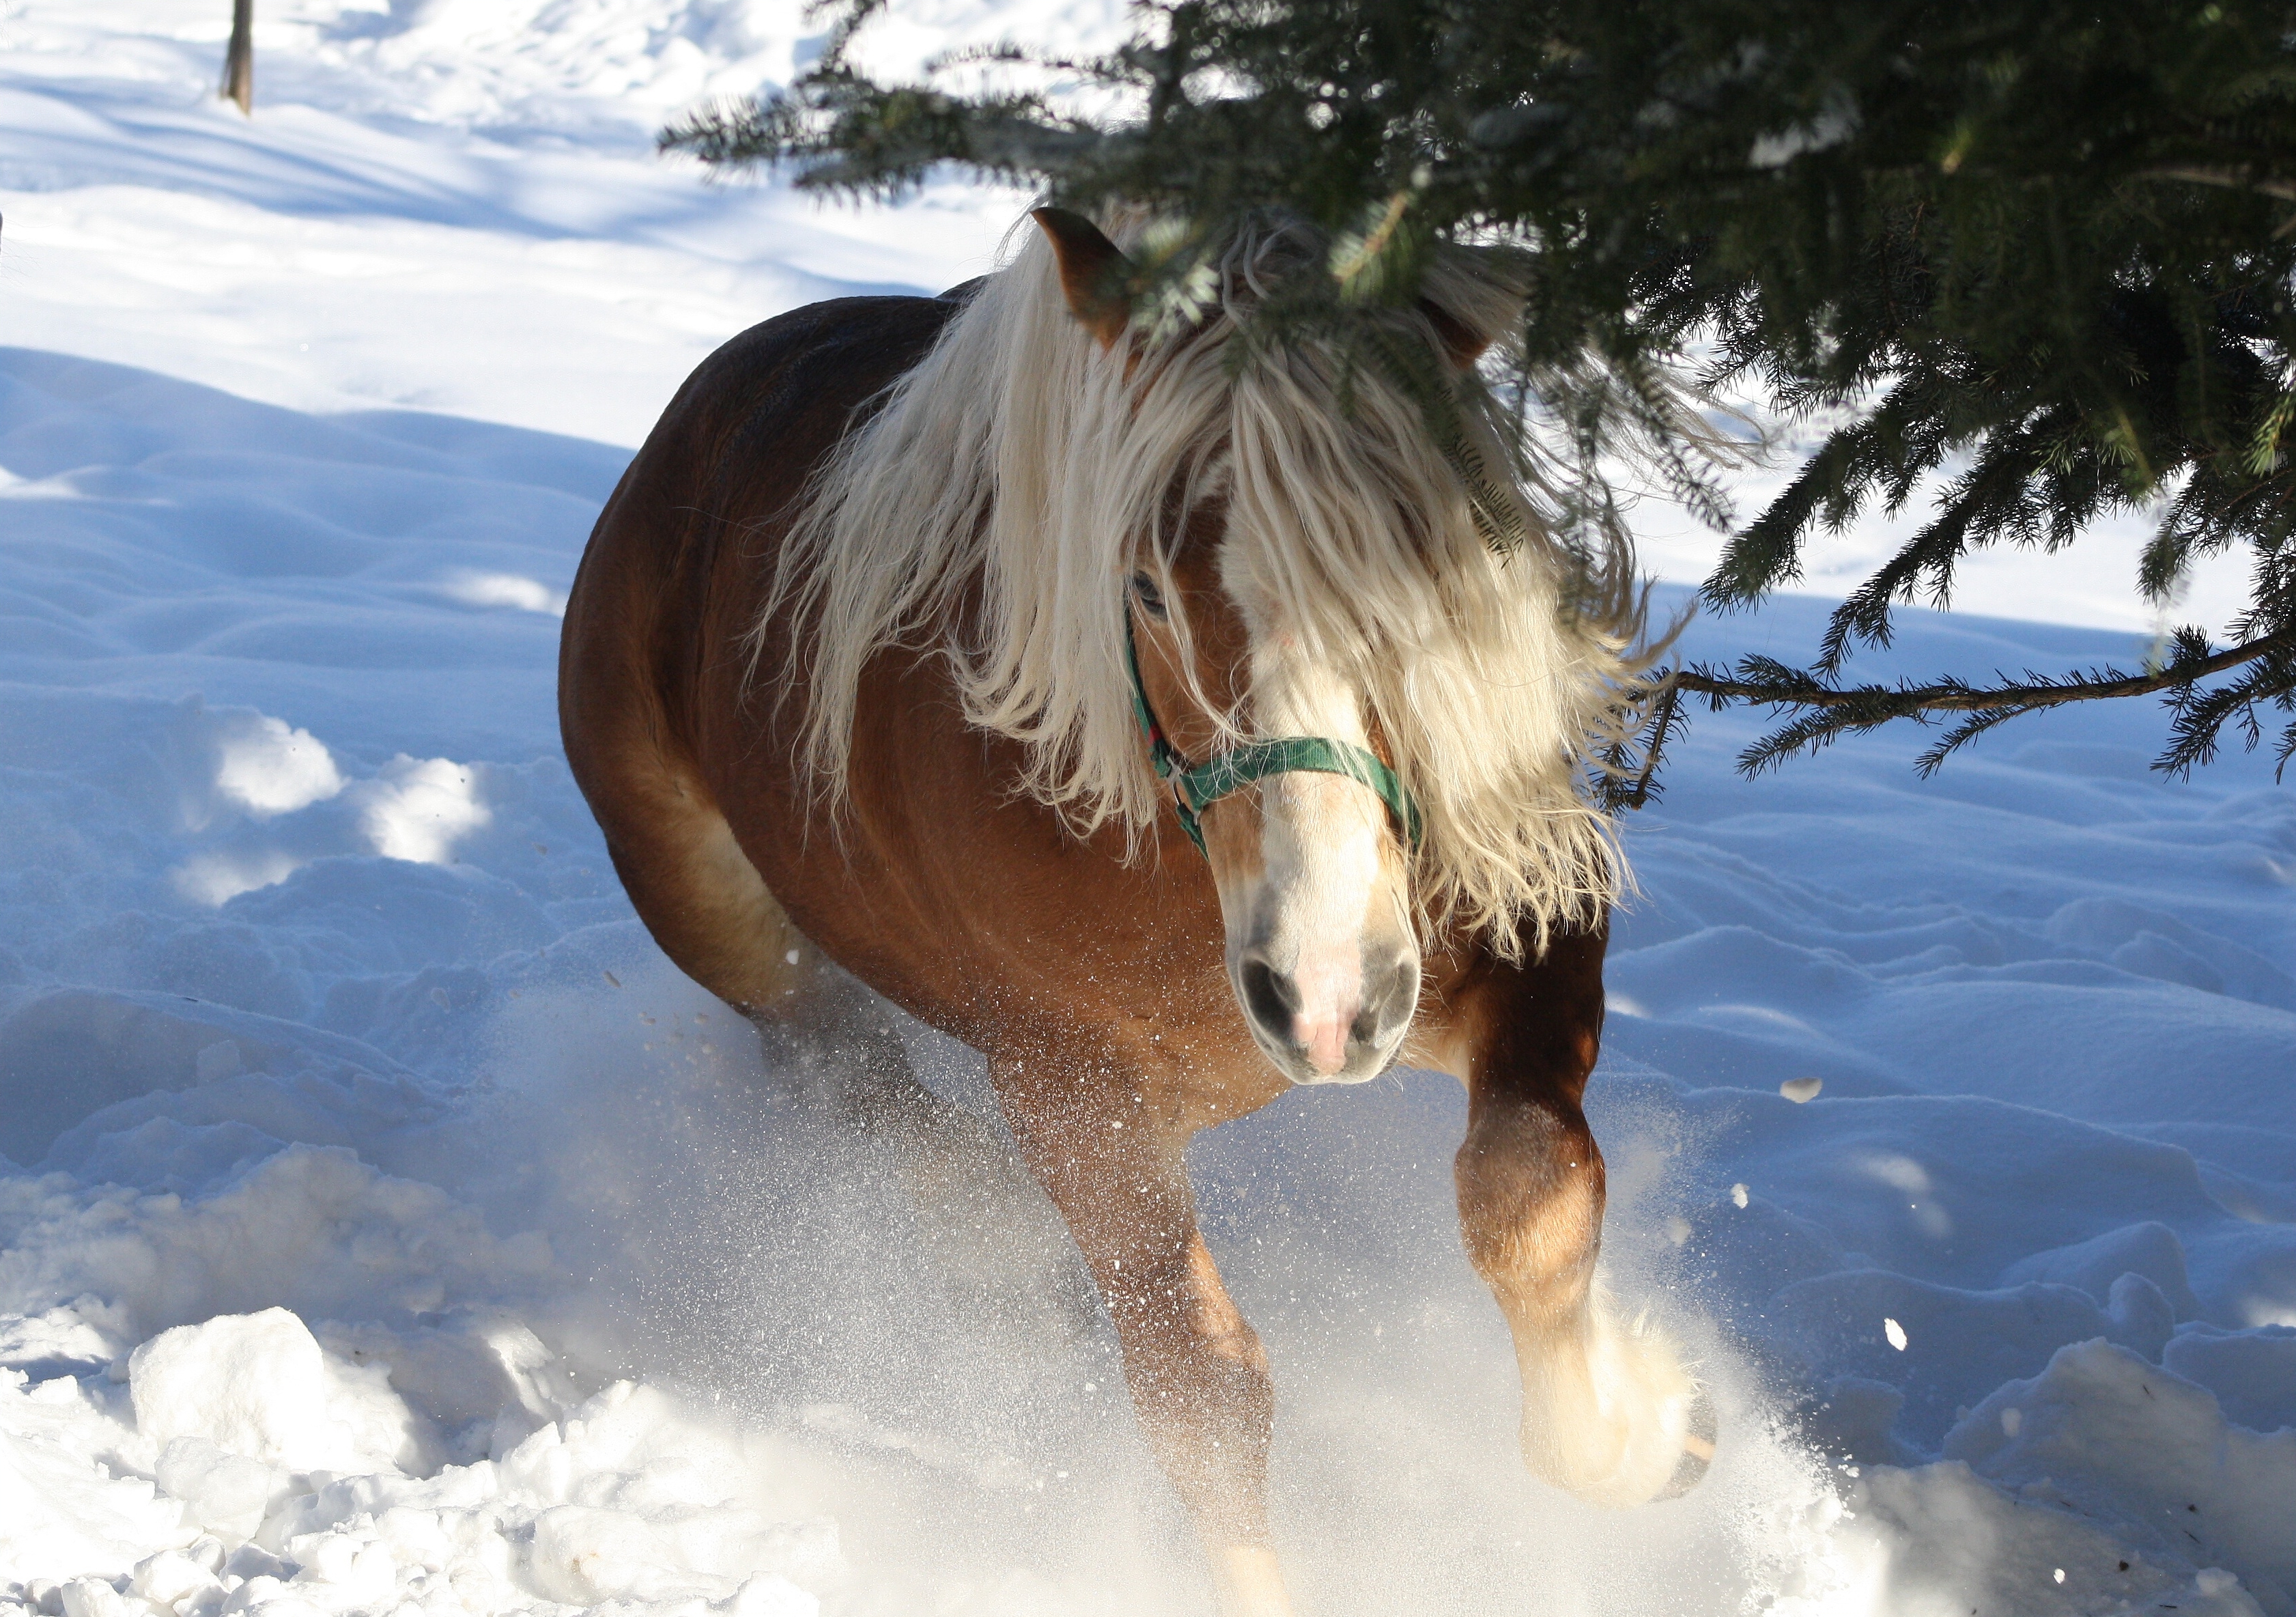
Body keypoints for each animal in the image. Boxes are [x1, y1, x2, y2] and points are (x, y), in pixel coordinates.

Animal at [555, 209, 1708, 1607]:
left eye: (1424, 577)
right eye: (1149, 587)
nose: (1326, 995)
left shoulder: (1529, 934)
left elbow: (1526, 1197)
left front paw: (1650, 1436)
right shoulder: (1071, 1095)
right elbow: (1201, 1395)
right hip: (722, 918)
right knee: (839, 1066)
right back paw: (996, 1250)